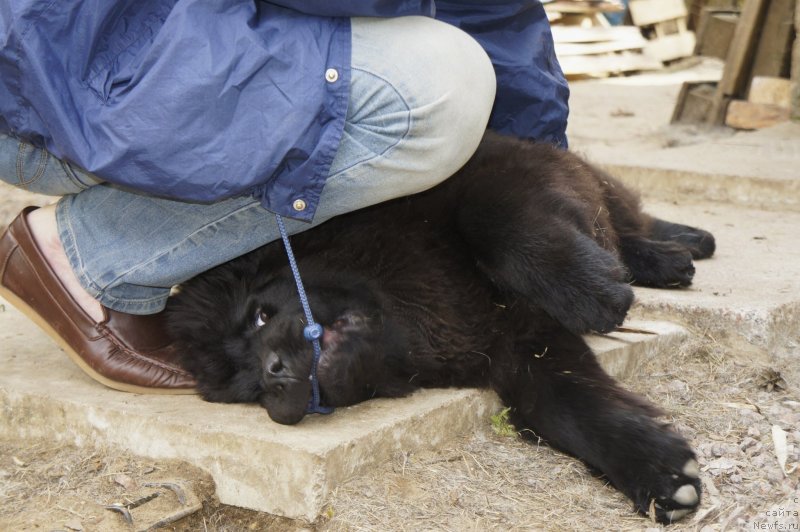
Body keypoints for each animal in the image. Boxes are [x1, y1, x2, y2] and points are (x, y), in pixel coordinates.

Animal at [167, 133, 712, 524]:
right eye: (251, 389)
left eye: (259, 317)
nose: (274, 371)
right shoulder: (520, 347)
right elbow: (572, 410)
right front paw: (662, 474)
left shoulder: (504, 173)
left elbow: (491, 217)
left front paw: (594, 295)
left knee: (628, 216)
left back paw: (677, 250)